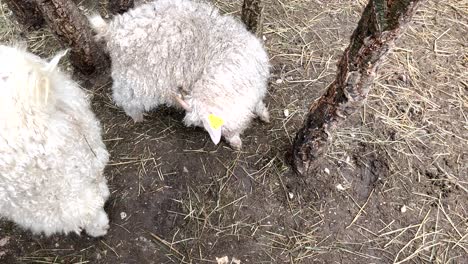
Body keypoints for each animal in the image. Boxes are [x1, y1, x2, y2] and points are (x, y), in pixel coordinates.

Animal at [89, 0, 270, 150]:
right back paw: (136, 116)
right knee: (123, 97)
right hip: (140, 78)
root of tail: (113, 31)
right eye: (222, 130)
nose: (236, 146)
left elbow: (258, 102)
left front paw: (264, 114)